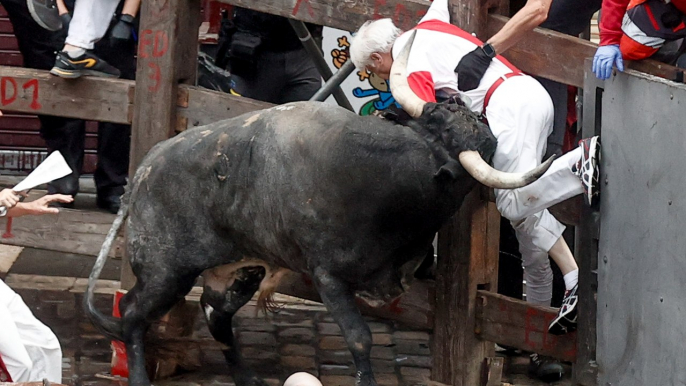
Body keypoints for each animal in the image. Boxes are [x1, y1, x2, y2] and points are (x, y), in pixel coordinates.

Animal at [84, 100, 506, 386]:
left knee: (215, 314)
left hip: (239, 269)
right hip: (165, 272)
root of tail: (146, 163)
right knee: (133, 313)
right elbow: (359, 339)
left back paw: (247, 378)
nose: (459, 104)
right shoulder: (329, 277)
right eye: (440, 124)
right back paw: (140, 376)